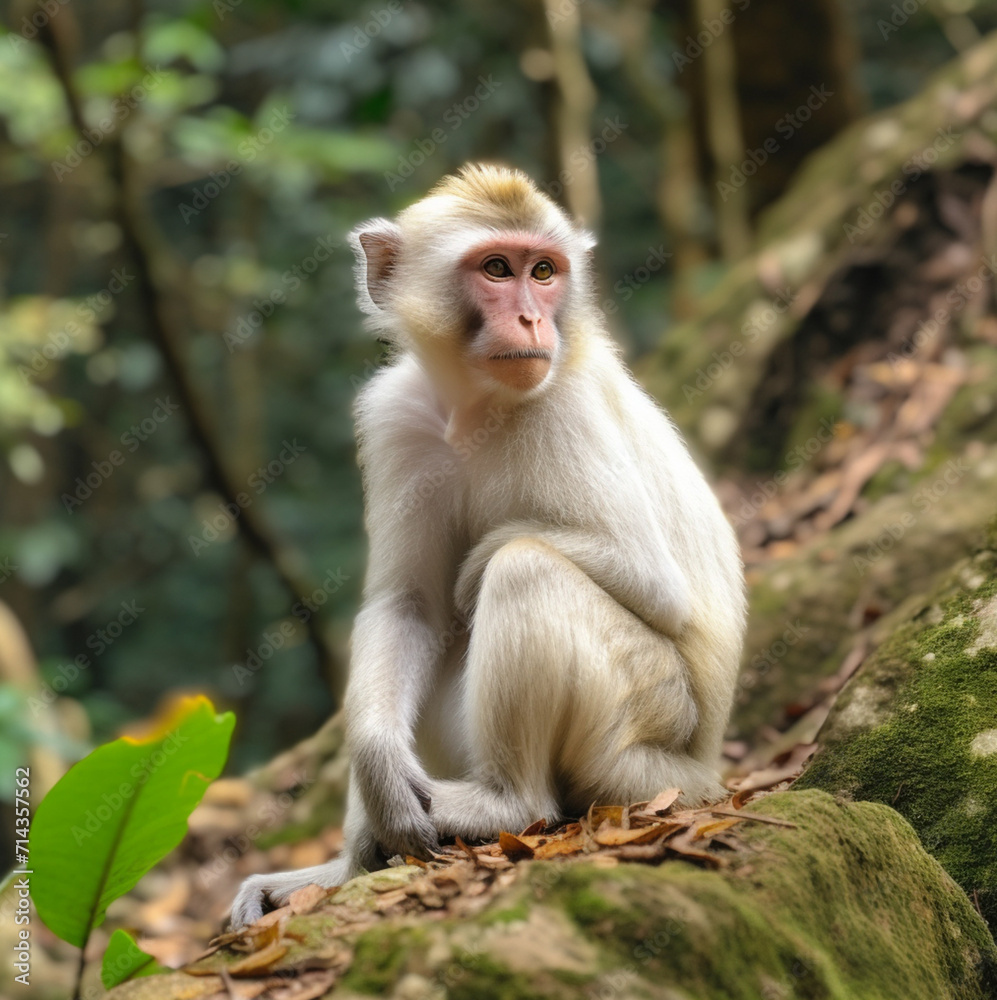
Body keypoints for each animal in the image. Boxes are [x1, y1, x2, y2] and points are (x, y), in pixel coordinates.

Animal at [230, 160, 744, 924]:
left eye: (545, 271)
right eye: (498, 269)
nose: (533, 318)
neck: (477, 405)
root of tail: (704, 769)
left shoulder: (563, 408)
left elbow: (652, 581)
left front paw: (476, 565)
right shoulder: (397, 419)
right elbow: (408, 606)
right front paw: (377, 766)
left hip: (649, 735)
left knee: (525, 570)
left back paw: (504, 801)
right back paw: (342, 868)